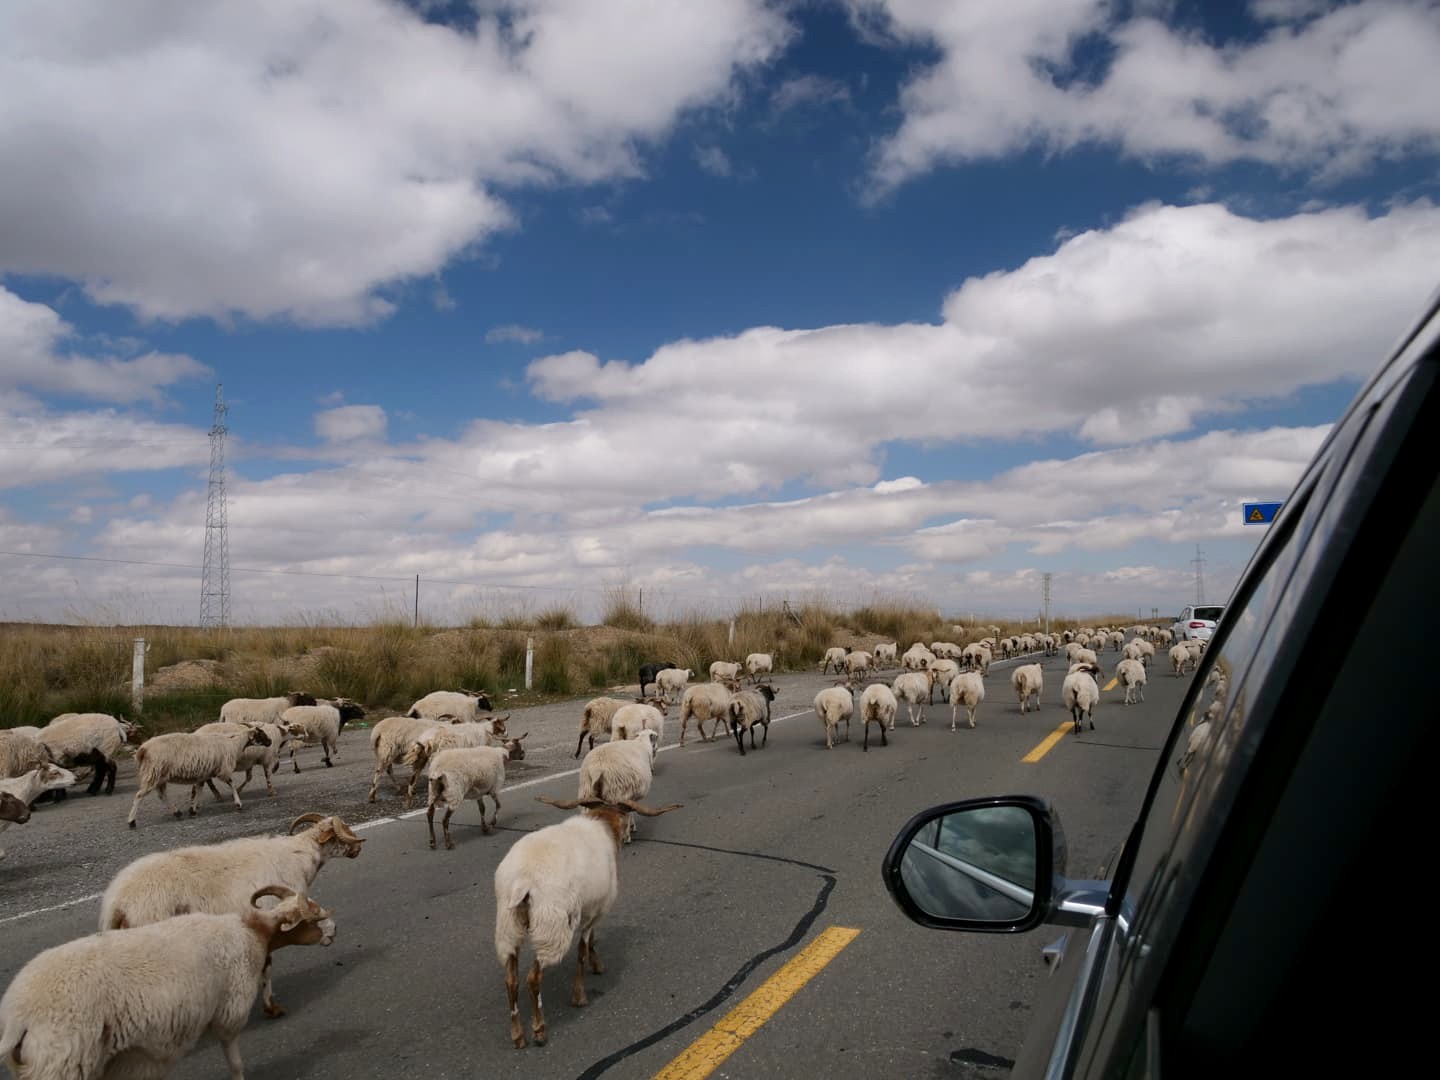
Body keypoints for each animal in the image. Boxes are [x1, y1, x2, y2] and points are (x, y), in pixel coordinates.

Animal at [0, 885, 335, 1078]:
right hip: (61, 1062)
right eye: (314, 919)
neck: (253, 932)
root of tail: (19, 1017)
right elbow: (235, 1062)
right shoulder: (229, 1010)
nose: (334, 932)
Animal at [97, 812, 362, 1018]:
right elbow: (267, 966)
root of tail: (117, 902)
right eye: (345, 830)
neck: (301, 856)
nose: (359, 848)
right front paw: (271, 1007)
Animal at [126, 726, 271, 827]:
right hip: (153, 772)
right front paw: (238, 804)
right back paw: (131, 821)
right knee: (139, 795)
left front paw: (193, 810)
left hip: (160, 775)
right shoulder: (222, 769)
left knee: (162, 795)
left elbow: (199, 790)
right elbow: (232, 784)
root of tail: (143, 749)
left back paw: (177, 812)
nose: (270, 742)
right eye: (261, 734)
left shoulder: (203, 774)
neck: (235, 744)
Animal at [496, 795, 682, 1049]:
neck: (602, 825)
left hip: (508, 927)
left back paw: (517, 1035)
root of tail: (522, 881)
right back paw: (539, 1030)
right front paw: (580, 994)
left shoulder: (591, 909)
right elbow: (583, 950)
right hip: (551, 927)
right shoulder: (595, 911)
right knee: (533, 978)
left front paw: (597, 965)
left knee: (511, 980)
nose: (627, 835)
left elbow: (589, 943)